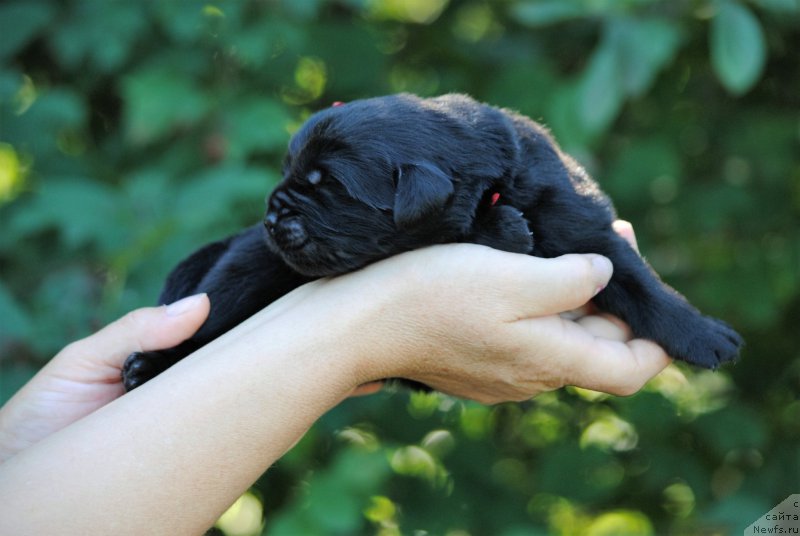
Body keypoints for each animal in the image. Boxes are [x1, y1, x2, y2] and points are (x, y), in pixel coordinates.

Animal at [120, 93, 744, 390]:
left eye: (327, 188)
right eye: (289, 174)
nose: (273, 215)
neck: (490, 175)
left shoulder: (583, 225)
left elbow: (640, 283)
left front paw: (704, 335)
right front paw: (501, 228)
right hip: (243, 269)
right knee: (210, 318)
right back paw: (151, 365)